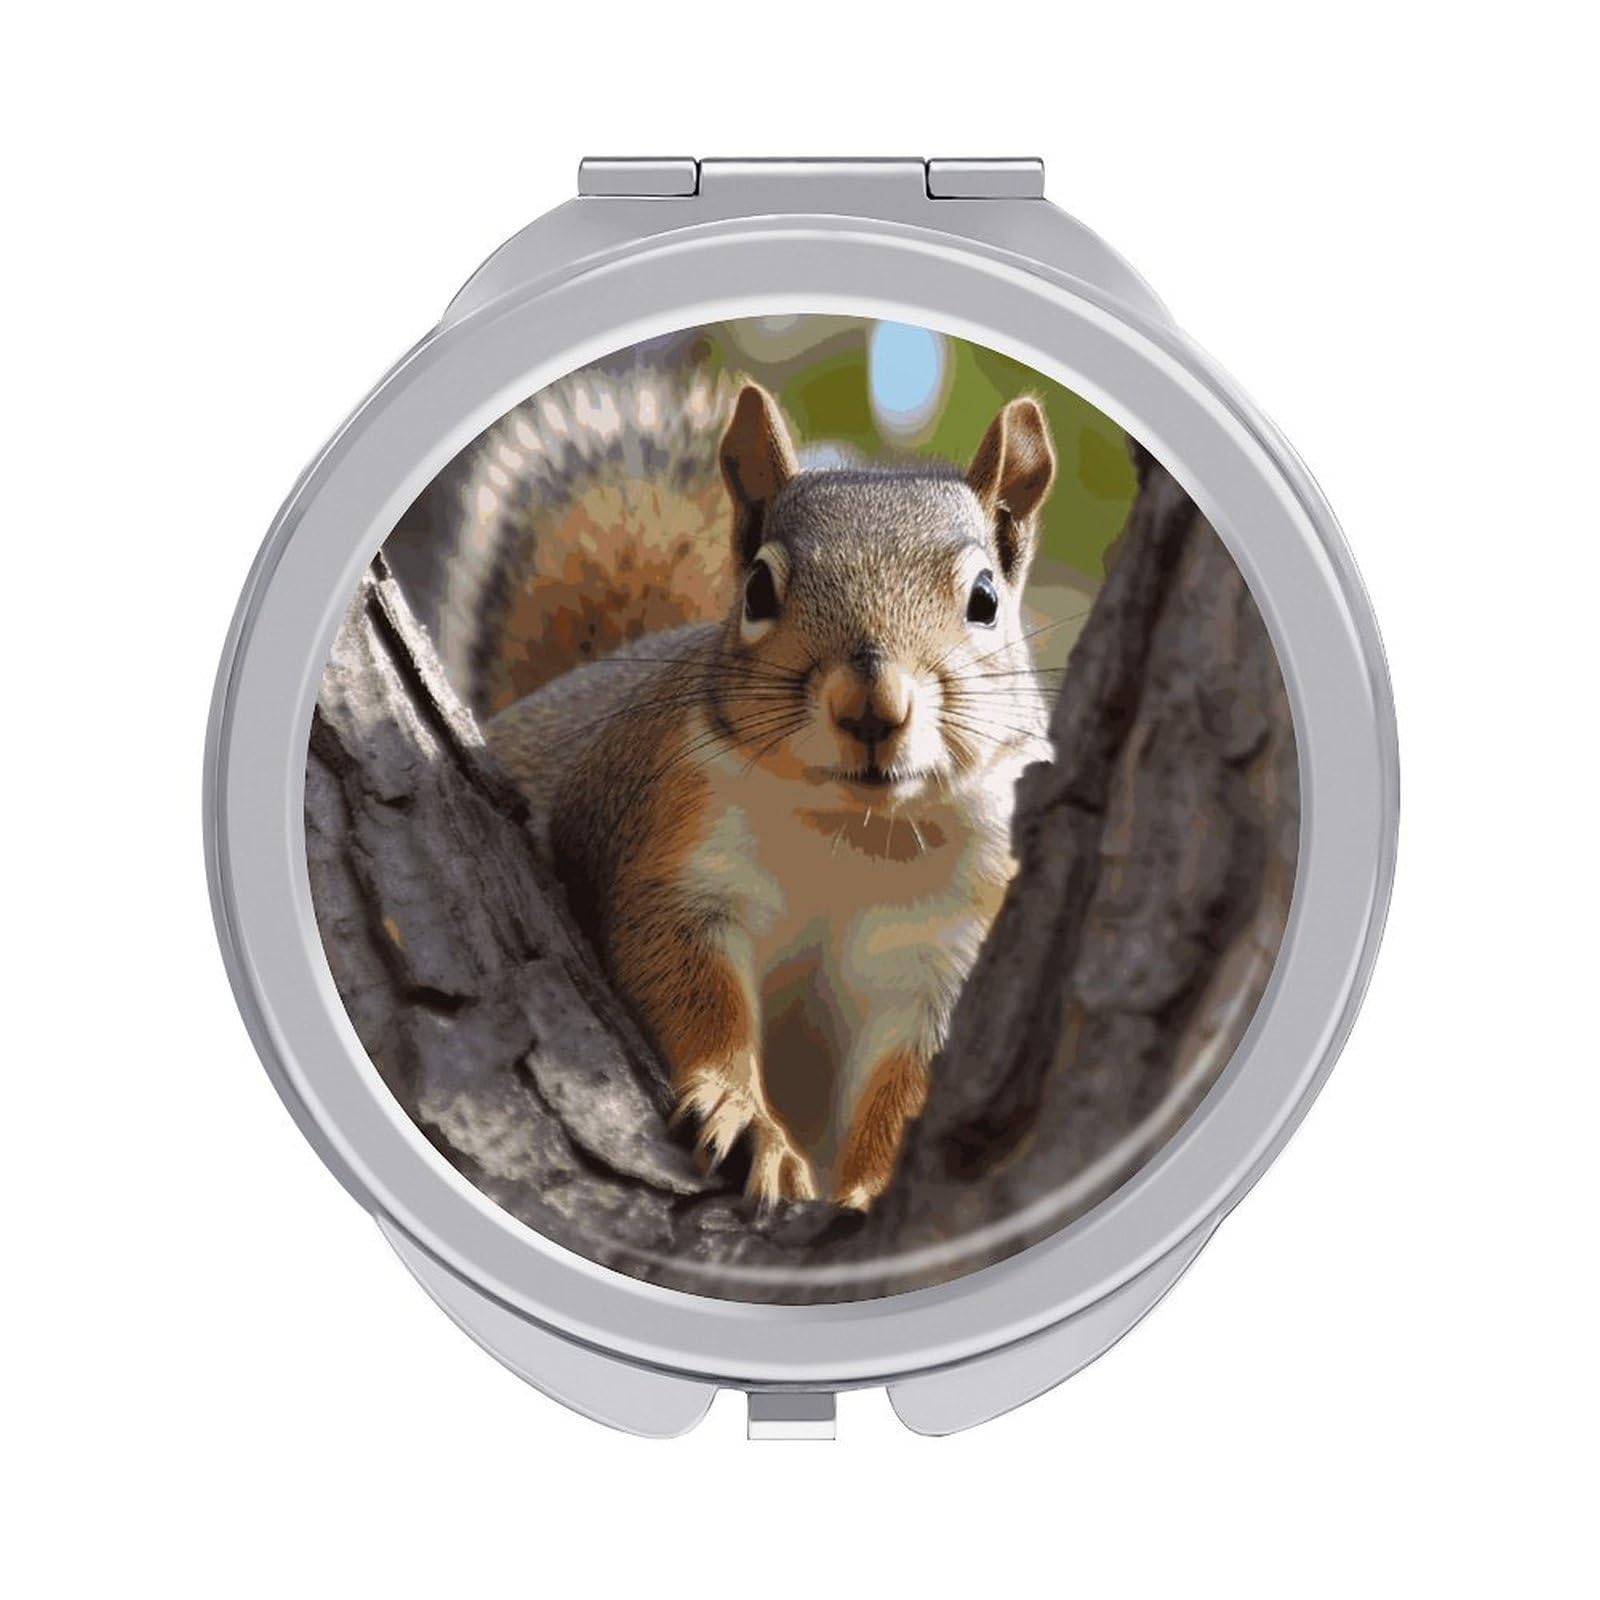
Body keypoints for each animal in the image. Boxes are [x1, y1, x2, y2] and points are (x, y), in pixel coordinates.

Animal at [476, 373, 1058, 1210]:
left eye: (985, 599)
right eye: (757, 588)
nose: (871, 705)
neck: (853, 831)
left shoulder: (946, 945)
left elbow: (910, 1080)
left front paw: (870, 1190)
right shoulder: (679, 852)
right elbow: (691, 987)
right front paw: (746, 1117)